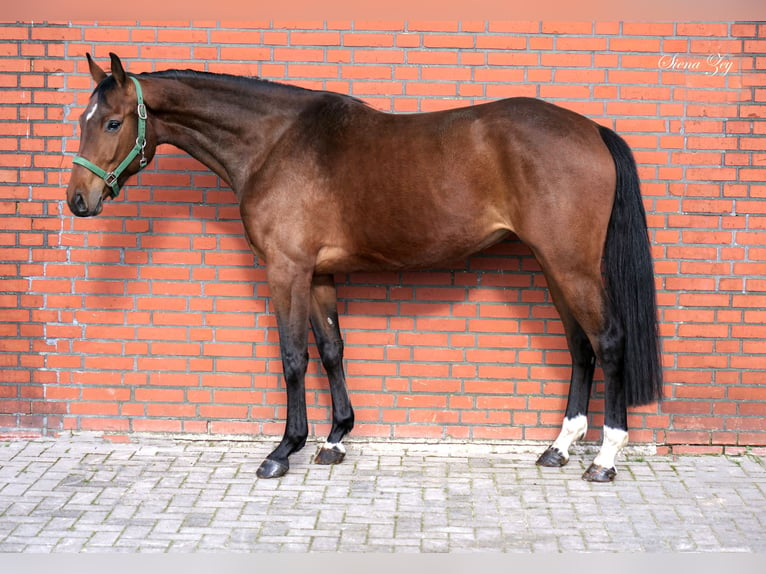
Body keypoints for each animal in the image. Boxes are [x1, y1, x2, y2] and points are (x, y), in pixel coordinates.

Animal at [66, 54, 664, 484]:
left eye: (113, 122)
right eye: (83, 120)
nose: (78, 200)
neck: (273, 143)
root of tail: (592, 129)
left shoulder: (286, 270)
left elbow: (293, 357)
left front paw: (283, 450)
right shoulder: (319, 275)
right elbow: (332, 350)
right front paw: (334, 440)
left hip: (571, 265)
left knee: (608, 341)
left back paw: (605, 458)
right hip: (553, 266)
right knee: (581, 347)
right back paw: (558, 448)